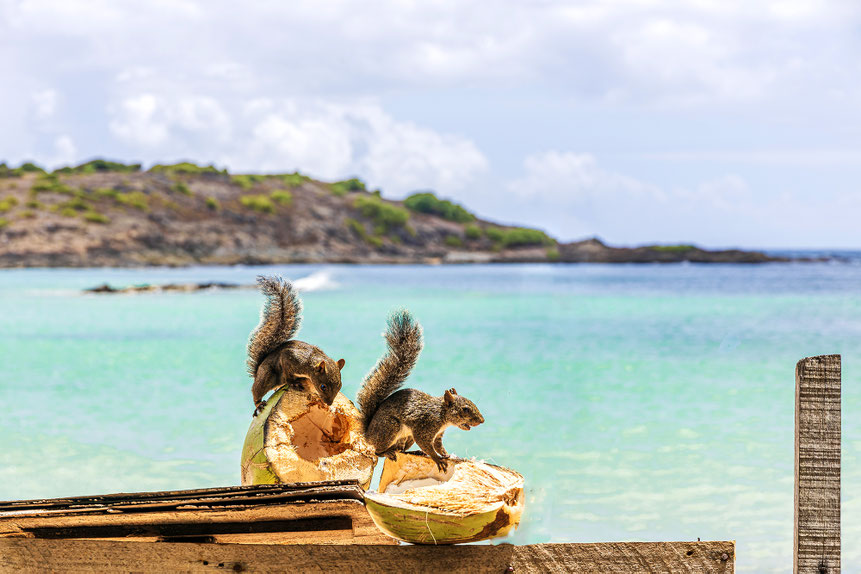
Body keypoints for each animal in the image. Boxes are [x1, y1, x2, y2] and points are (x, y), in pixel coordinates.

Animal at [247, 275, 345, 415]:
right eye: (323, 387)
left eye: (340, 385)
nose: (329, 403)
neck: (310, 363)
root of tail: (257, 371)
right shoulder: (290, 358)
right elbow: (288, 374)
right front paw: (294, 383)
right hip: (266, 376)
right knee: (257, 391)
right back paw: (259, 404)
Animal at [357, 309, 485, 472]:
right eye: (466, 409)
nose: (482, 421)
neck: (442, 415)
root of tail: (368, 434)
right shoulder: (425, 427)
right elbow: (427, 445)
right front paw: (437, 459)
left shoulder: (438, 435)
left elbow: (438, 446)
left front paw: (446, 454)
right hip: (389, 428)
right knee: (377, 450)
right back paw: (387, 452)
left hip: (407, 438)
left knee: (401, 450)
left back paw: (414, 452)